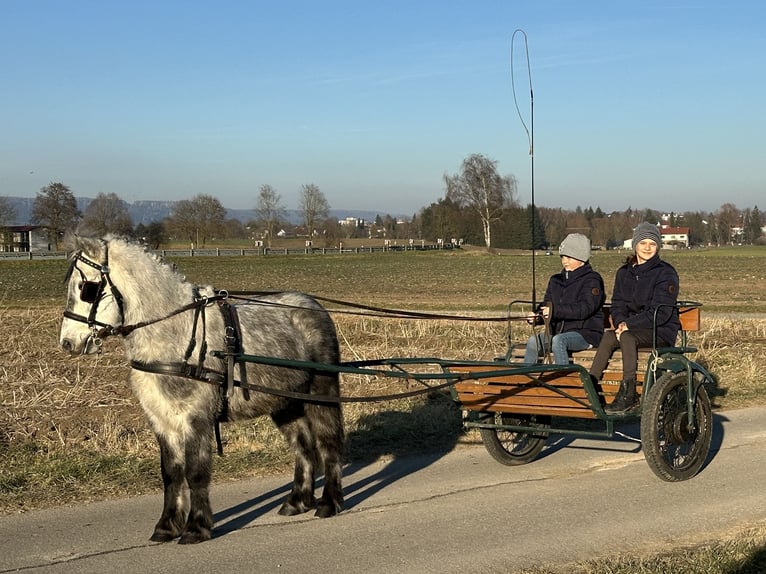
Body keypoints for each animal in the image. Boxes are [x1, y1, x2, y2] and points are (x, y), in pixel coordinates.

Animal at [60, 236, 344, 548]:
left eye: (87, 288)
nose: (67, 342)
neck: (176, 335)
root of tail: (313, 305)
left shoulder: (196, 419)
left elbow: (195, 473)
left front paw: (196, 527)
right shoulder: (163, 421)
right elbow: (171, 473)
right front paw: (166, 526)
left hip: (321, 394)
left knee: (328, 444)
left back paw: (329, 503)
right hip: (285, 403)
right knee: (303, 447)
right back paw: (297, 502)